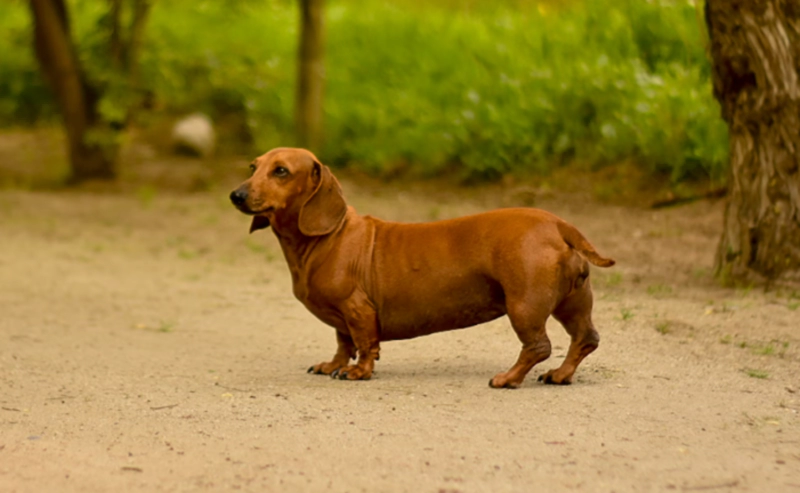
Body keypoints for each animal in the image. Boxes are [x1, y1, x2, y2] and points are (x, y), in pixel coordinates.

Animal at [228, 148, 616, 386]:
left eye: (281, 171)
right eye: (253, 167)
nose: (236, 195)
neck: (326, 238)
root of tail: (558, 224)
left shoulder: (357, 309)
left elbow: (365, 344)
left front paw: (357, 372)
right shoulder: (341, 318)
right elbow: (342, 341)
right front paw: (334, 365)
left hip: (524, 305)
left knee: (538, 346)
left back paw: (508, 379)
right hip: (572, 302)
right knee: (585, 339)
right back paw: (560, 375)